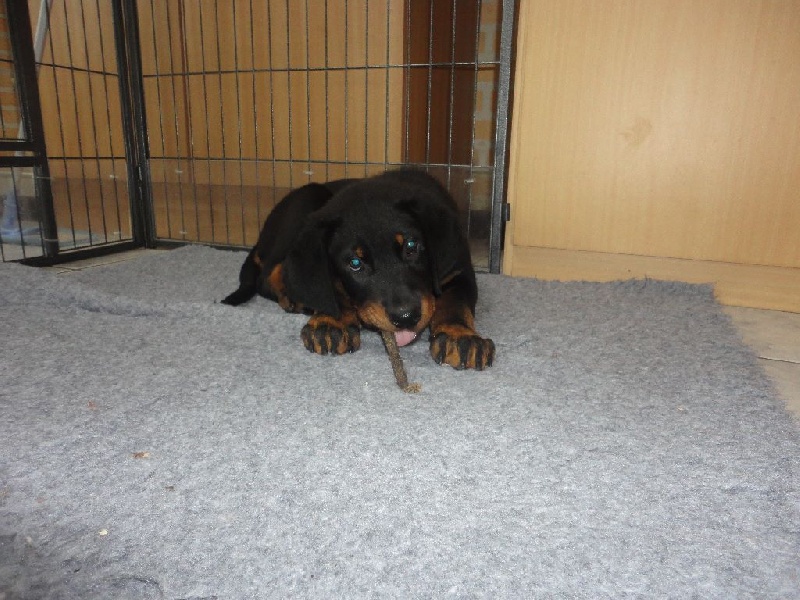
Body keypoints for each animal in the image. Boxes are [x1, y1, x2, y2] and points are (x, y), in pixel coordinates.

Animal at [222, 170, 495, 370]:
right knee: (269, 274)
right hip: (306, 200)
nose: (406, 317)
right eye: (355, 263)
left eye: (411, 246)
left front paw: (459, 336)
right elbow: (330, 285)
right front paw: (331, 322)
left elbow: (455, 300)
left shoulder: (458, 269)